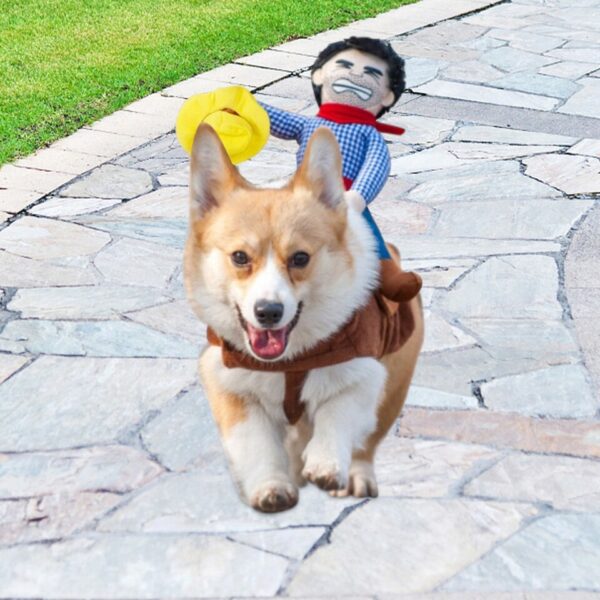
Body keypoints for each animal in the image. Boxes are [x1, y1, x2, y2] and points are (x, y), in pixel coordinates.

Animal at [183, 124, 422, 512]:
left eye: (300, 258)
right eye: (239, 257)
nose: (268, 312)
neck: (289, 363)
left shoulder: (364, 374)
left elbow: (337, 413)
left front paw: (325, 464)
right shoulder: (226, 380)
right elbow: (255, 441)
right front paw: (271, 487)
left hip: (394, 387)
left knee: (366, 443)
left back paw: (355, 477)